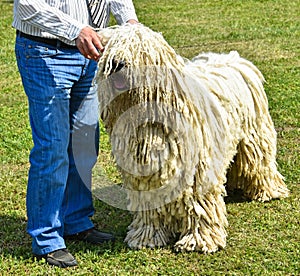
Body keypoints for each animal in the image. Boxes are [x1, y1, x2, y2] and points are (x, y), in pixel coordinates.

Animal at [95, 23, 290, 252]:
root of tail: (235, 59)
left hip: (254, 135)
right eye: (110, 47)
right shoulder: (143, 171)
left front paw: (199, 240)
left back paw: (269, 191)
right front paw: (146, 237)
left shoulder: (198, 168)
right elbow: (149, 204)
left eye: (140, 50)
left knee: (260, 164)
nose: (117, 64)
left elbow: (199, 202)